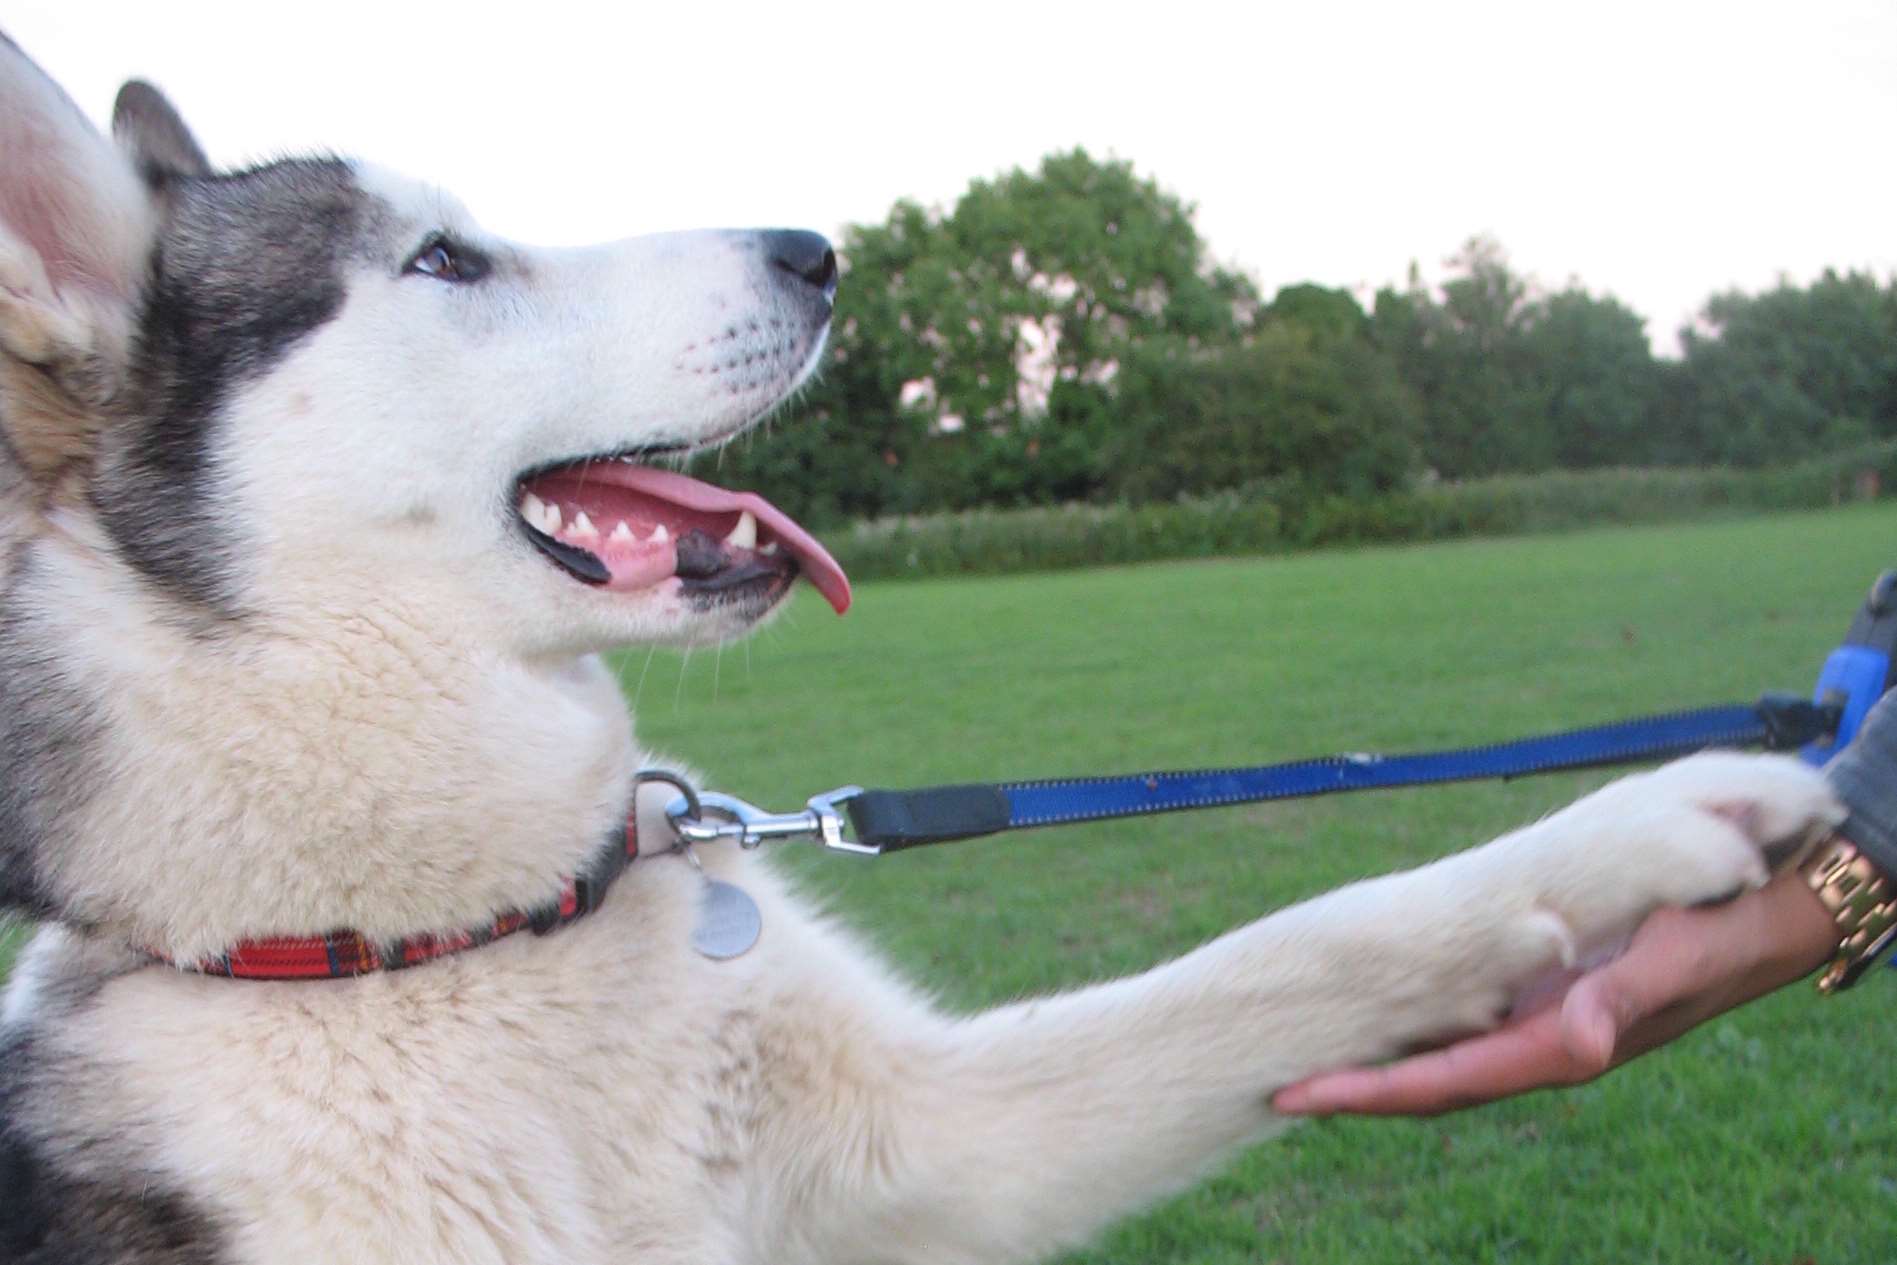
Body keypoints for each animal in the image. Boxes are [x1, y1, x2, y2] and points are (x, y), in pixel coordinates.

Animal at [0, 34, 1836, 1265]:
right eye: (444, 260)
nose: (816, 248)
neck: (450, 944)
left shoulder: (946, 1141)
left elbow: (1309, 941)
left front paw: (1639, 825)